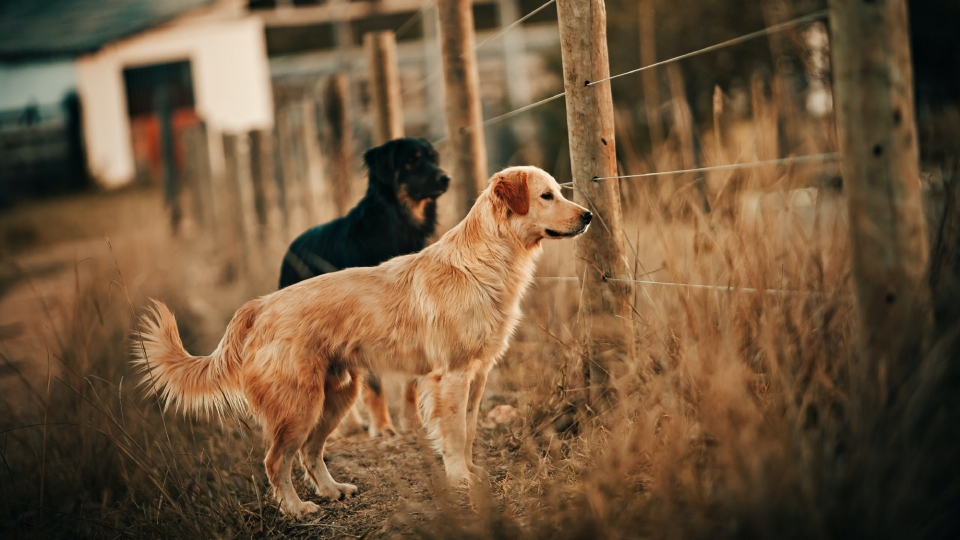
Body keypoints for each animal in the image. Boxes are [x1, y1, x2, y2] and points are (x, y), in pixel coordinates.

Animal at [278, 137, 450, 436]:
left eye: (432, 158)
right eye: (411, 161)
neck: (396, 226)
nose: (445, 178)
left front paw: (412, 422)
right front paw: (382, 427)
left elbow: (410, 382)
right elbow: (375, 383)